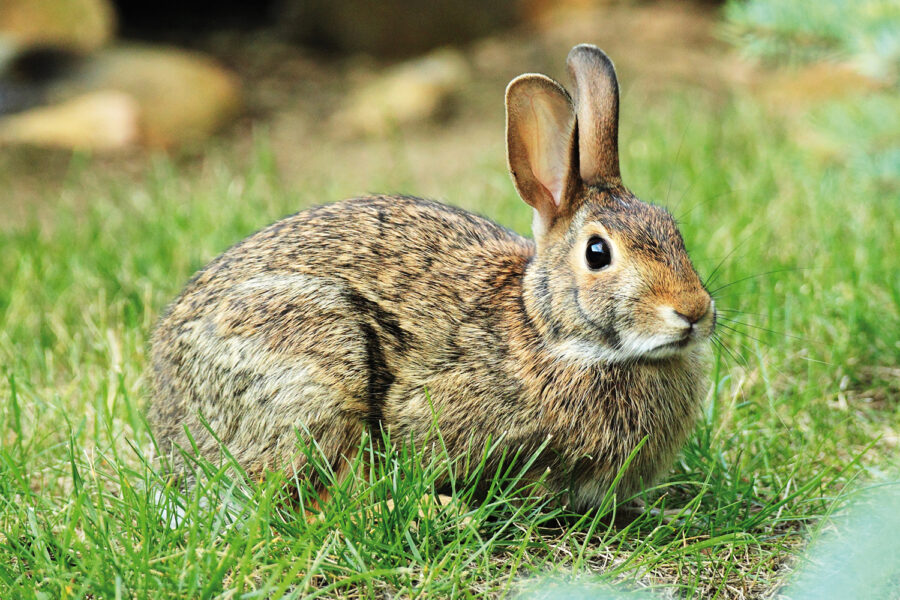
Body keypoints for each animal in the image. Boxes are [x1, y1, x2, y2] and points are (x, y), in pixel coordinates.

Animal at [149, 44, 716, 512]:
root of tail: (167, 419)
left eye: (672, 229)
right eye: (598, 253)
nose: (694, 311)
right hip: (315, 367)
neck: (549, 336)